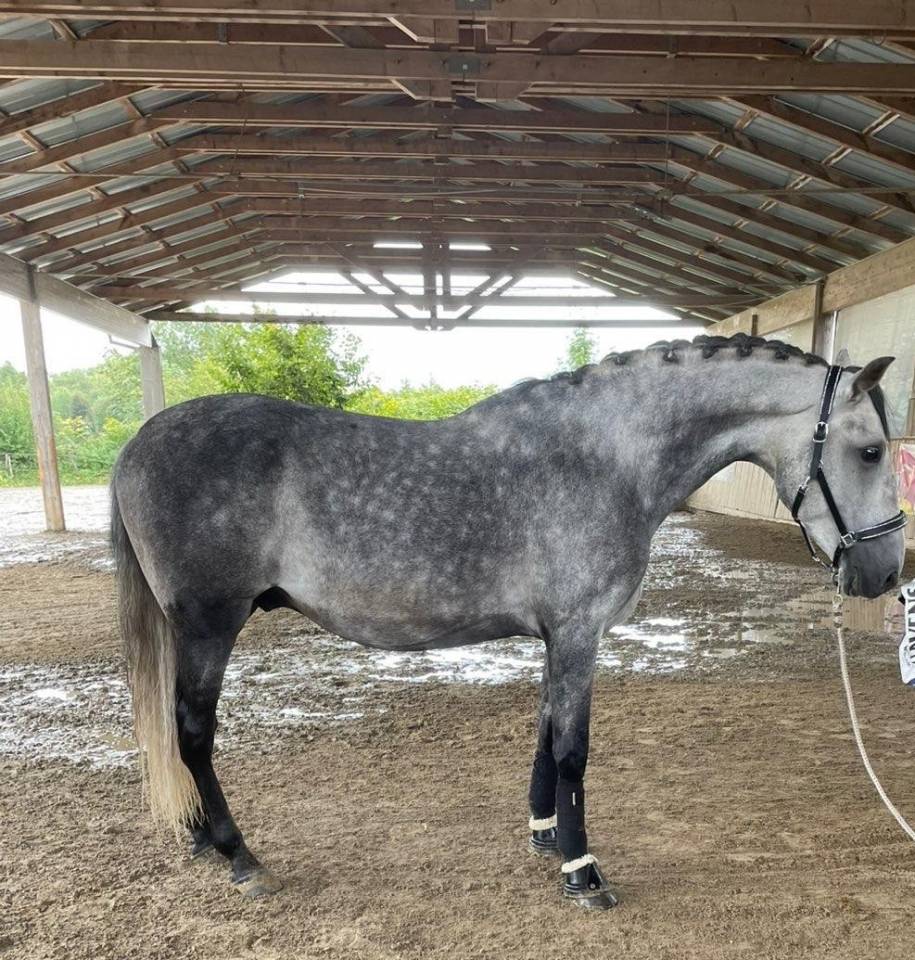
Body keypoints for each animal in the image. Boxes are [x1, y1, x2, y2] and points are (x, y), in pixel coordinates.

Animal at [110, 333, 905, 910]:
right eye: (870, 451)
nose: (886, 574)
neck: (605, 460)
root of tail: (138, 443)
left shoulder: (560, 637)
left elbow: (546, 732)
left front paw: (546, 836)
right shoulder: (580, 632)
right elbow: (574, 749)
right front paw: (582, 872)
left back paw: (200, 839)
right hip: (208, 626)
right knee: (192, 733)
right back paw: (239, 855)